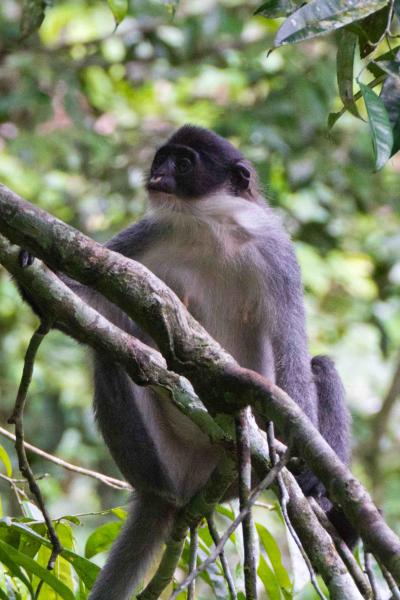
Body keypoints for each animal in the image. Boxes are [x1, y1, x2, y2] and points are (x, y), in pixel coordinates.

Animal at [19, 124, 356, 596]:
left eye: (182, 163)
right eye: (160, 159)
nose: (156, 175)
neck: (210, 228)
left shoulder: (276, 253)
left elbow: (291, 353)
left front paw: (305, 472)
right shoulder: (152, 232)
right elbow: (96, 297)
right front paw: (32, 275)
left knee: (321, 364)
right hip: (166, 456)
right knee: (112, 354)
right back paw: (161, 490)